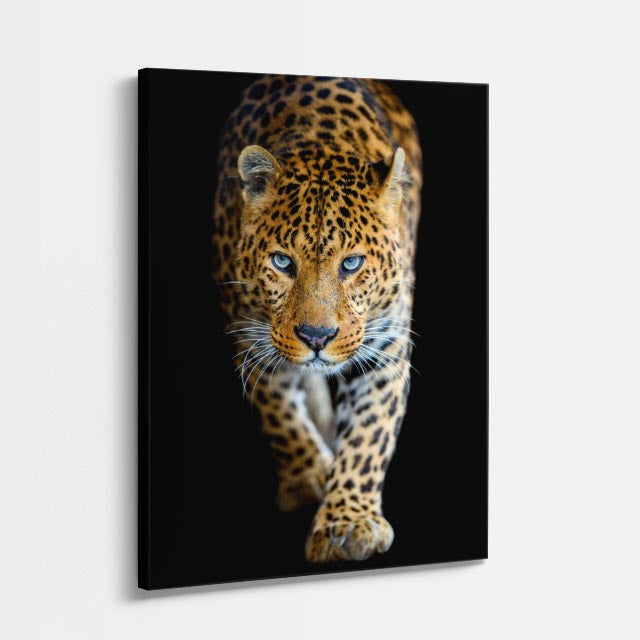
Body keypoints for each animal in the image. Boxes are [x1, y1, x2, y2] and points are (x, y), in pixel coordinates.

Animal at [212, 74, 422, 563]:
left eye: (352, 264)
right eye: (282, 262)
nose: (316, 337)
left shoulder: (386, 350)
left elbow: (369, 437)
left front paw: (348, 522)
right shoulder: (249, 336)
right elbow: (278, 413)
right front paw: (308, 478)